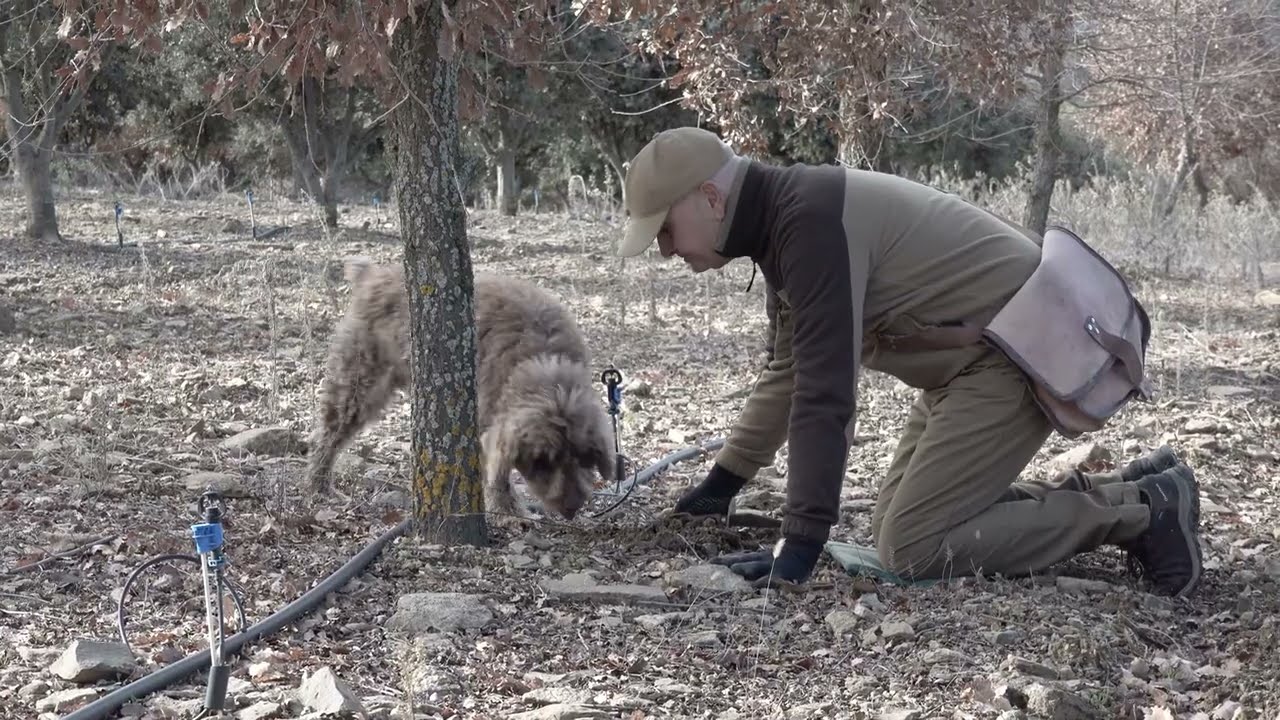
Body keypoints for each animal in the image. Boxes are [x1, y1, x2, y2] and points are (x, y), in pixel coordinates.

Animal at [304, 256, 614, 520]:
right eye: (541, 461)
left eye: (583, 457)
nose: (571, 508)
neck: (541, 360)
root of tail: (374, 274)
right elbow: (497, 473)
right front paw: (509, 511)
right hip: (359, 382)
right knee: (329, 435)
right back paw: (319, 484)